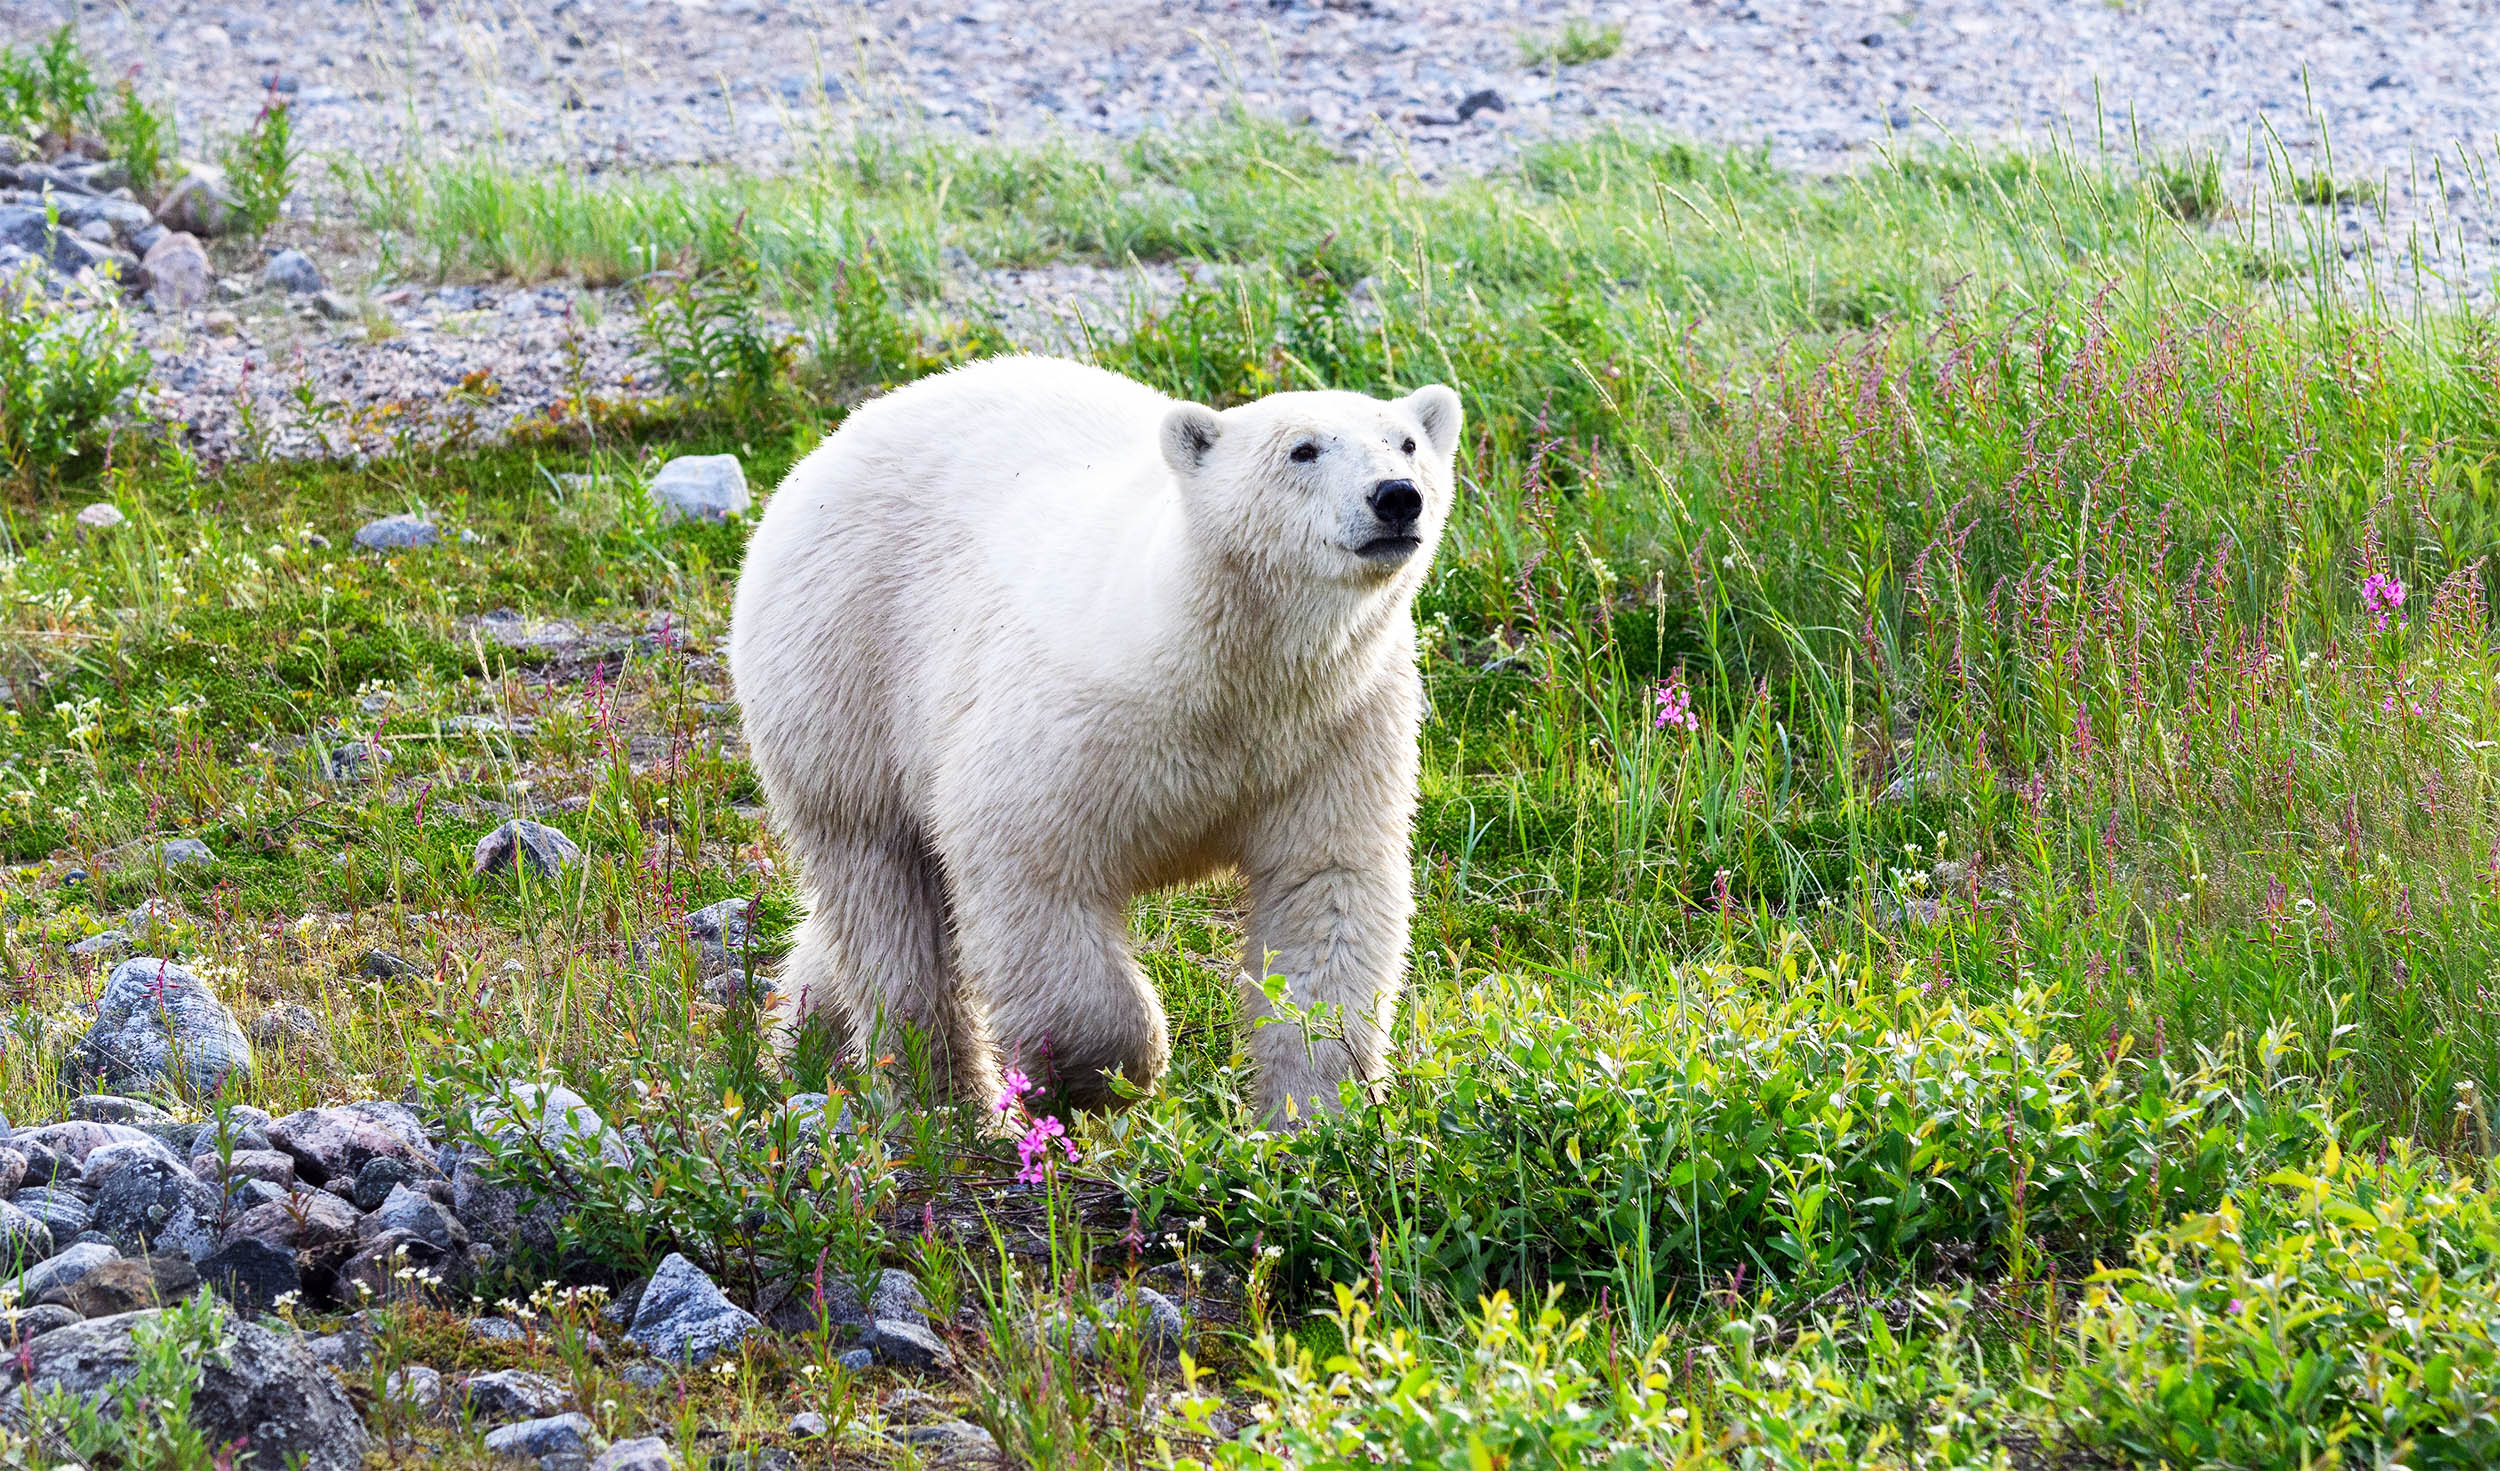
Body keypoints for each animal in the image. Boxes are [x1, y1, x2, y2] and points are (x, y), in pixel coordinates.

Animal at [728, 355, 1461, 1117]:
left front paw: (1316, 1110)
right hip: (846, 672)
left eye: (1407, 442)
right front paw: (1104, 1073)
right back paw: (935, 1088)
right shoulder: (1077, 726)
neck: (1220, 671)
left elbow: (1325, 889)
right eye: (1303, 449)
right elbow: (1031, 869)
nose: (1397, 497)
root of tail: (834, 440)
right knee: (885, 891)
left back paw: (807, 1033)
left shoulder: (1331, 728)